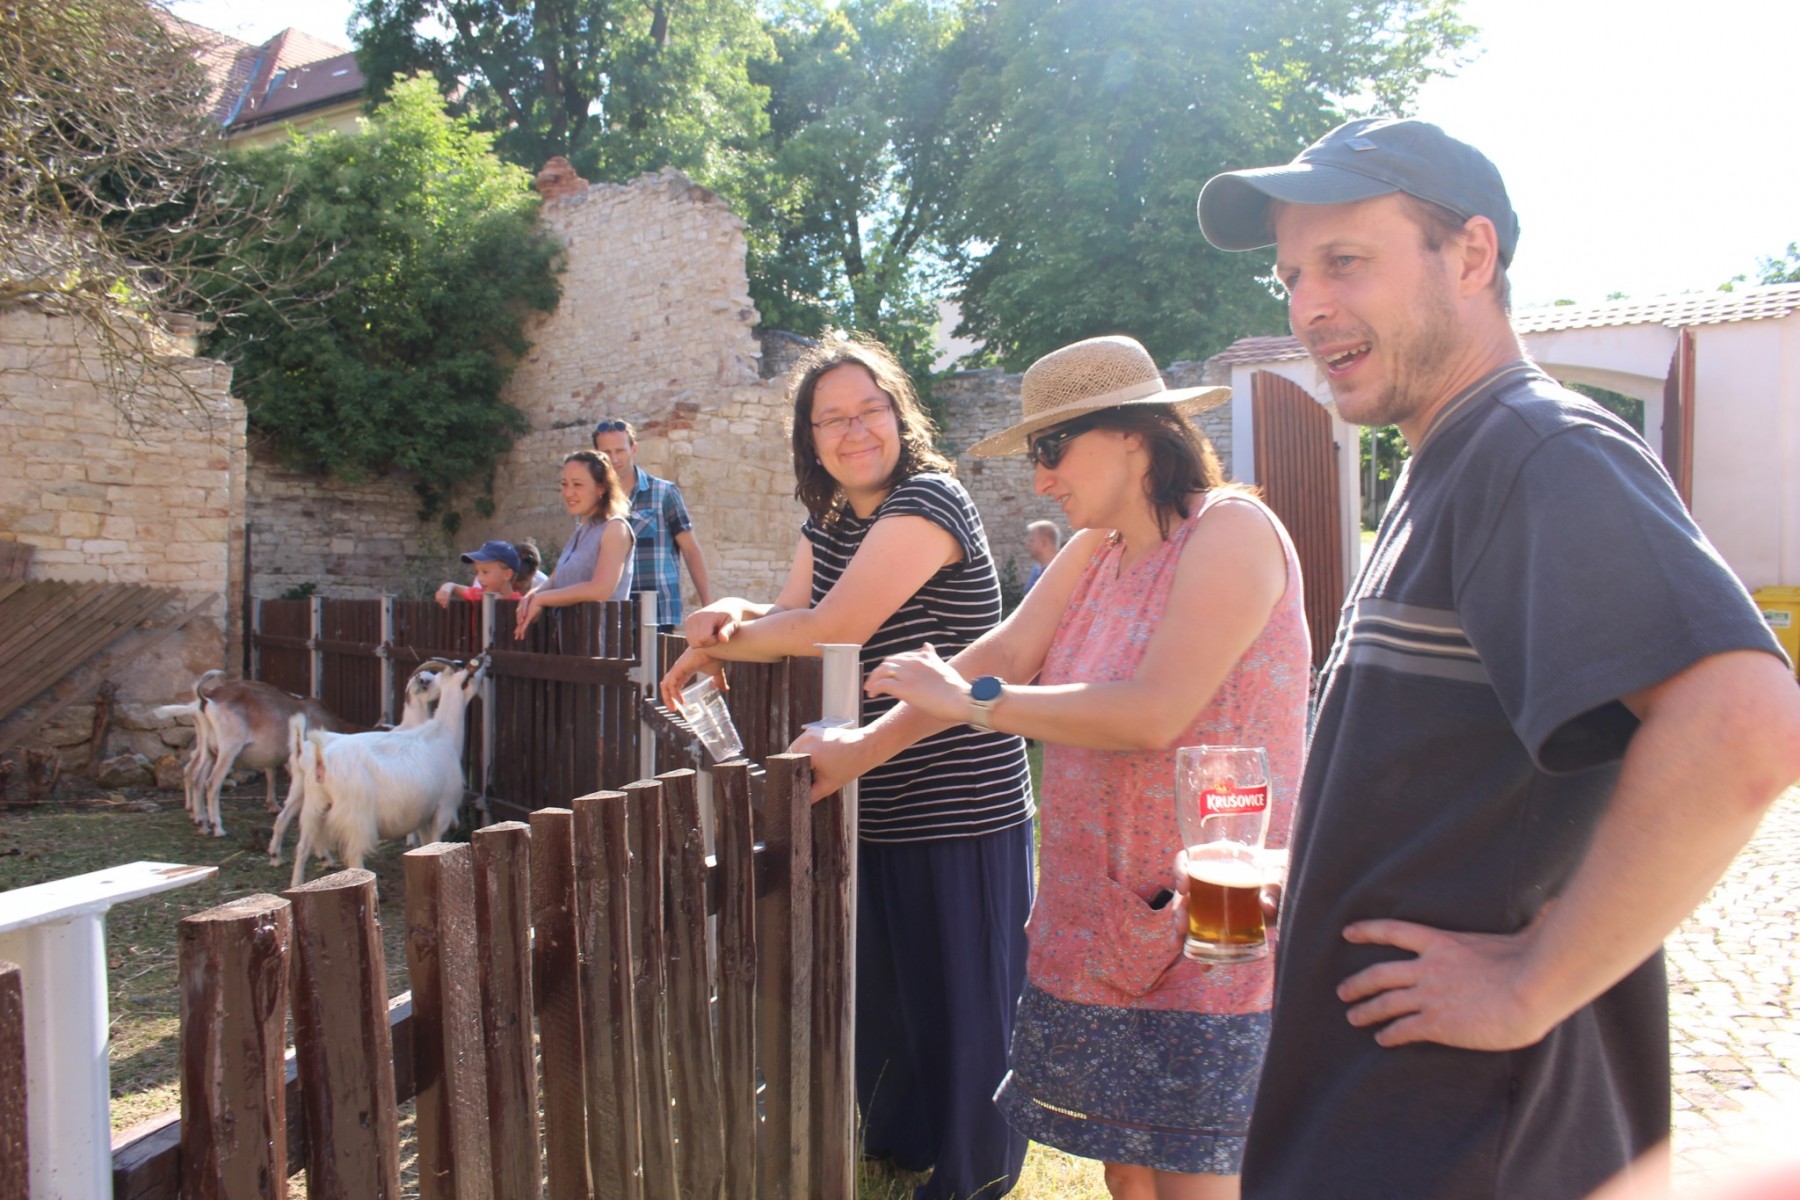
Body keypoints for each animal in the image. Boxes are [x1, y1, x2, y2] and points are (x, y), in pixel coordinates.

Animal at [267, 659, 453, 868]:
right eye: (426, 681)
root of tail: (300, 748)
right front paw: (411, 841)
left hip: (301, 789)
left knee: (286, 818)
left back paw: (279, 856)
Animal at [291, 656, 486, 887]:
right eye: (470, 675)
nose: (483, 661)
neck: (442, 733)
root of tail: (322, 760)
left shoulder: (422, 814)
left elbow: (426, 843)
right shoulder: (443, 807)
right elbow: (436, 840)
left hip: (313, 807)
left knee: (302, 847)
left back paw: (295, 884)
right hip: (357, 817)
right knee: (354, 855)